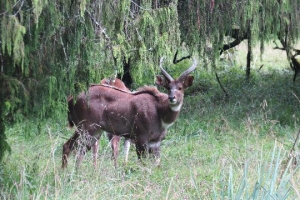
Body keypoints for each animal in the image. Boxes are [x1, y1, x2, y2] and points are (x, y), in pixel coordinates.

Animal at [61, 57, 197, 169]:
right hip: (88, 128)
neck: (159, 113)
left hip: (93, 131)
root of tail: (72, 99)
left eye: (180, 88)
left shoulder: (155, 141)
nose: (172, 98)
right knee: (75, 150)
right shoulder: (140, 138)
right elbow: (142, 163)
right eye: (168, 88)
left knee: (73, 148)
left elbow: (157, 164)